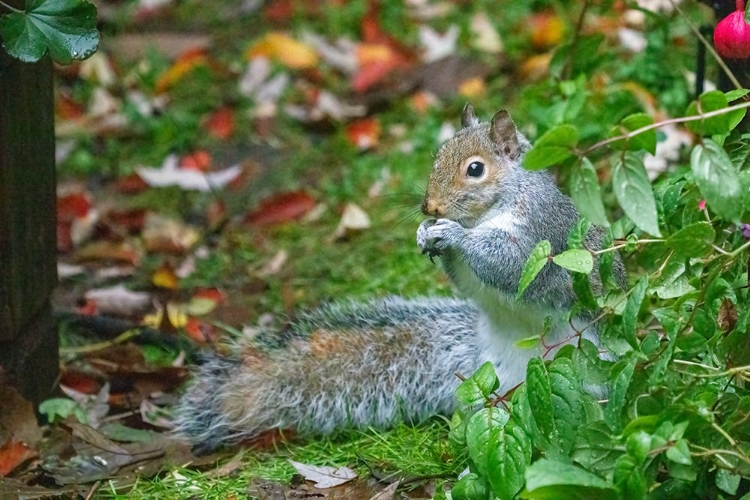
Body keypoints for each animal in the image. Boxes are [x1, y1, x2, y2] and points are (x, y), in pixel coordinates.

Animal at [173, 104, 624, 450]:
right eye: (436, 157)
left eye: (475, 169)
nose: (429, 208)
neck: (490, 209)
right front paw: (426, 233)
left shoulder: (540, 234)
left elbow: (512, 267)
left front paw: (453, 234)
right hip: (497, 378)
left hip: (587, 368)